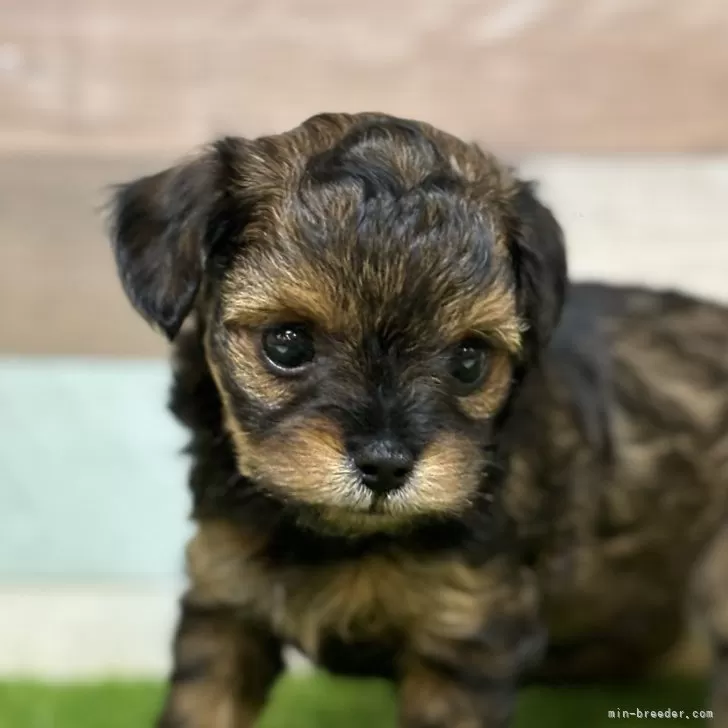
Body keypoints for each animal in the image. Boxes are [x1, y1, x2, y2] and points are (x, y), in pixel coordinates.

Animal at [106, 109, 728, 728]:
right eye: (286, 343)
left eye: (469, 361)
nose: (385, 464)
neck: (343, 540)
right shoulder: (225, 599)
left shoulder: (465, 630)